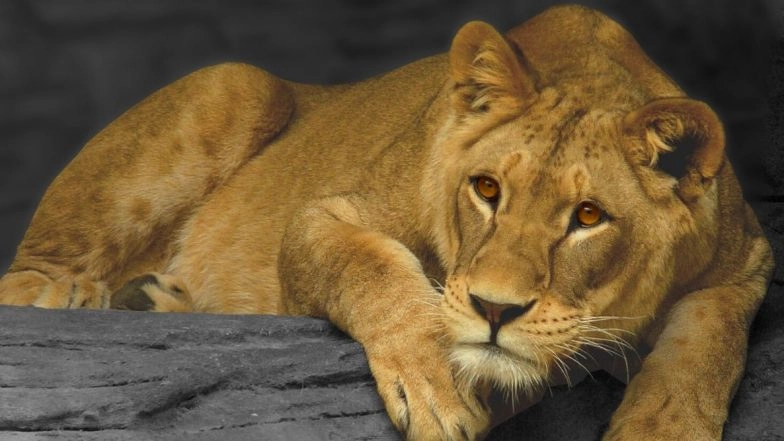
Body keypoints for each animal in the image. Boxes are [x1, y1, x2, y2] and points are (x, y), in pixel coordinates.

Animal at [0, 5, 772, 440]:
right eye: (487, 189)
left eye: (589, 216)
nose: (495, 308)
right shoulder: (325, 212)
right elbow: (374, 270)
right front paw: (436, 385)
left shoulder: (750, 258)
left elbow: (710, 336)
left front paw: (663, 426)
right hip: (236, 85)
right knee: (25, 273)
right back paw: (77, 294)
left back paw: (157, 300)